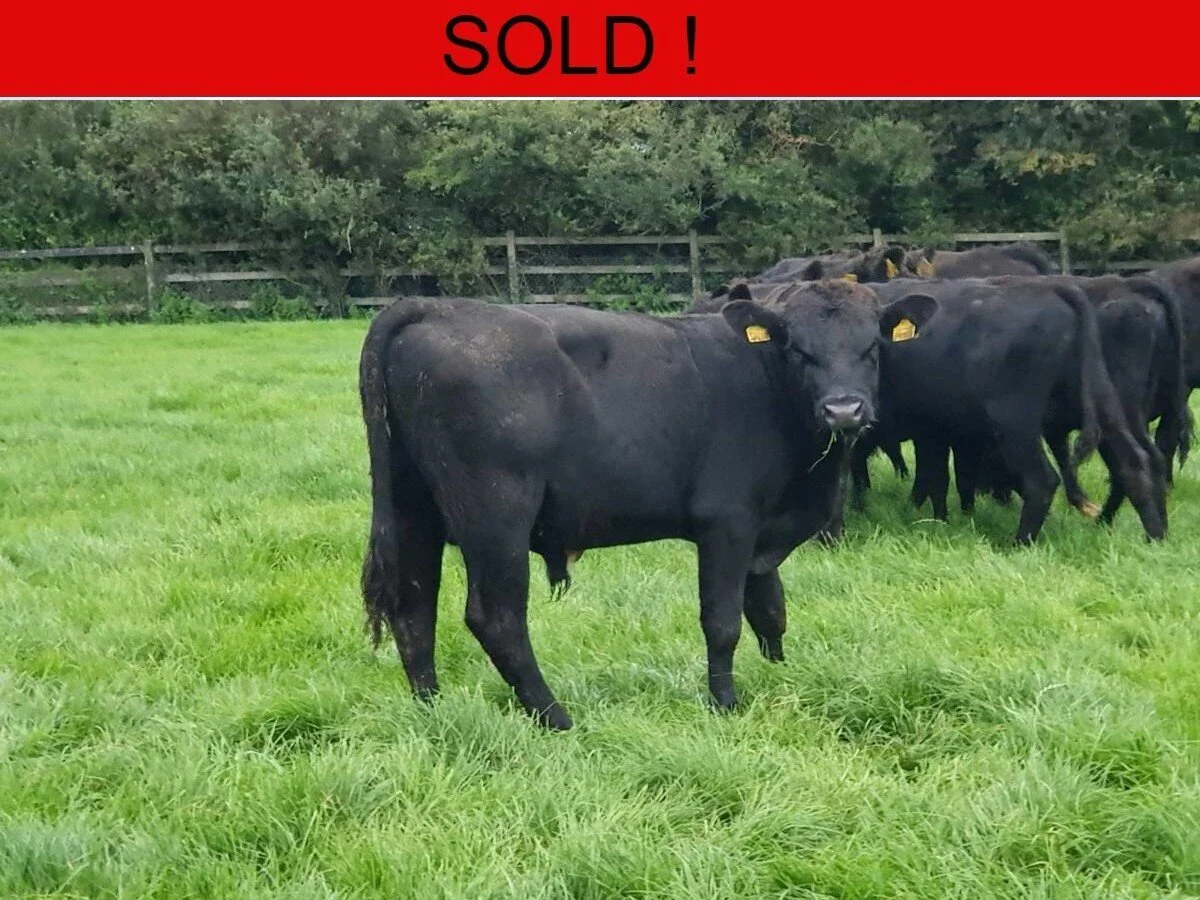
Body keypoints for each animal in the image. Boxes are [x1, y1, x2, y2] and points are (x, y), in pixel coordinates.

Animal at [358, 283, 939, 729]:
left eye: (872, 346)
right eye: (797, 347)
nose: (844, 409)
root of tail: (434, 307)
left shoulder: (762, 532)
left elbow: (770, 611)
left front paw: (780, 675)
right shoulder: (727, 523)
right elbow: (723, 619)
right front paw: (725, 704)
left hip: (413, 509)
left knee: (414, 608)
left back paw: (432, 709)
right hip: (496, 515)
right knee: (495, 618)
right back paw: (556, 717)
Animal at [861, 277, 1165, 544]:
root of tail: (1056, 289)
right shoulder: (934, 428)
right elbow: (937, 476)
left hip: (1015, 420)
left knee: (1042, 480)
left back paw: (1019, 544)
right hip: (1105, 403)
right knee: (1134, 463)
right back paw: (1154, 538)